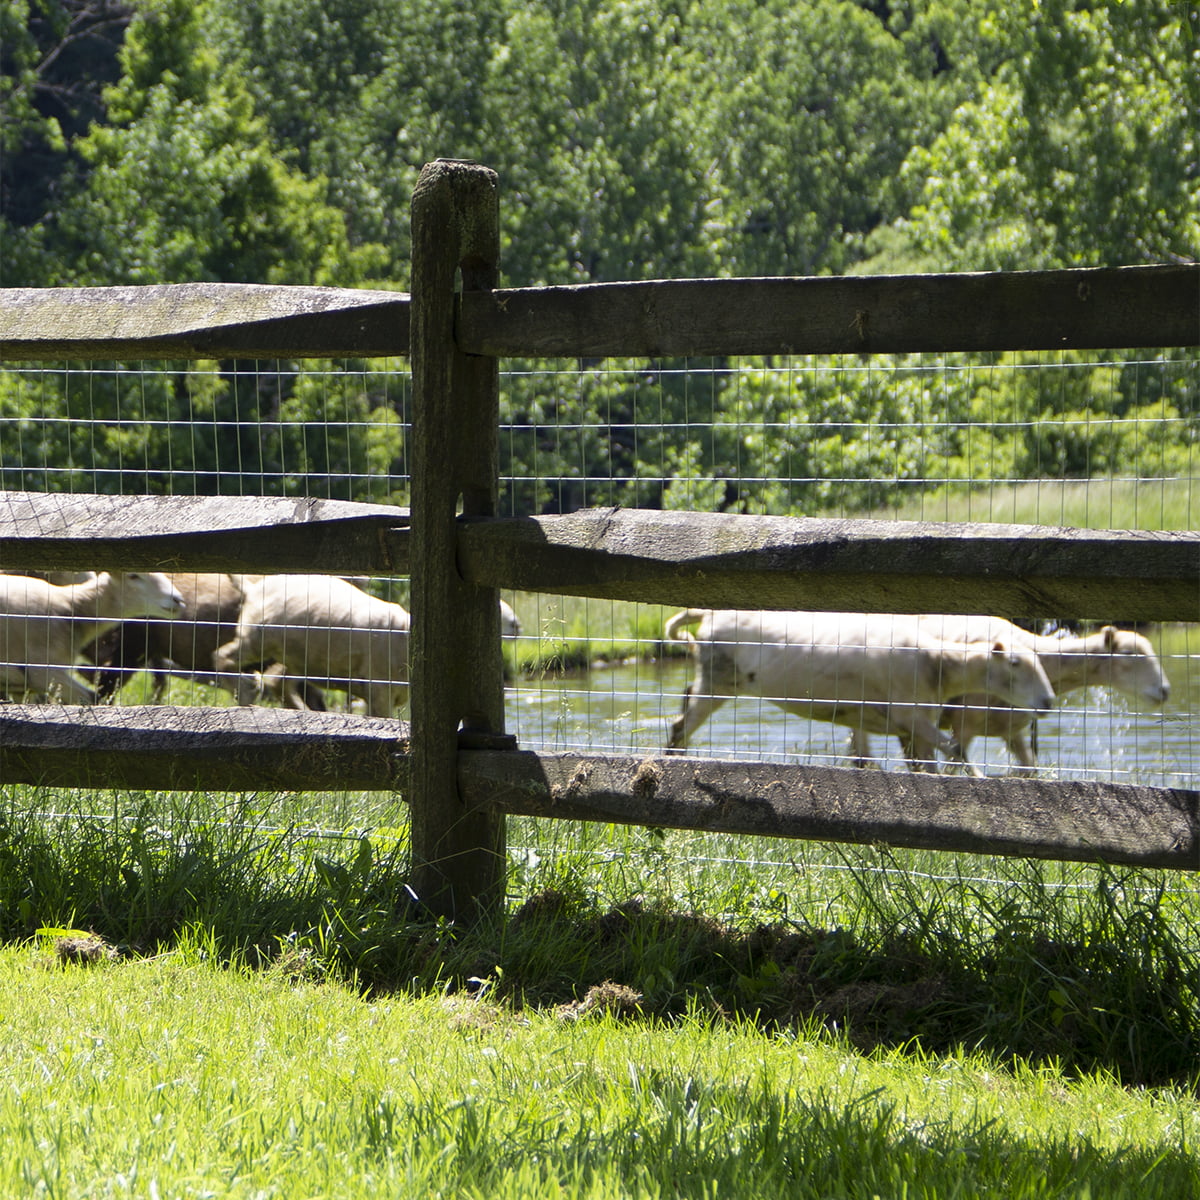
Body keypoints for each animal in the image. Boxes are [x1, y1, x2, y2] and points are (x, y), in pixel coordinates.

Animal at [0, 571, 184, 700]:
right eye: (133, 576)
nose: (178, 599)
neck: (71, 607)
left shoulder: (23, 687)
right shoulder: (44, 672)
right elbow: (91, 699)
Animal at [662, 604, 1056, 772]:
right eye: (1015, 664)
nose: (1048, 702)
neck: (937, 661)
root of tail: (709, 614)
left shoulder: (914, 724)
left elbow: (928, 766)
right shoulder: (909, 714)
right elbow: (957, 752)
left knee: (684, 706)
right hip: (719, 679)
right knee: (681, 724)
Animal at [844, 614, 1171, 772]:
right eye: (1130, 655)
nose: (1165, 690)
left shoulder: (1010, 729)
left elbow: (1028, 771)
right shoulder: (965, 723)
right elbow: (955, 771)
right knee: (864, 756)